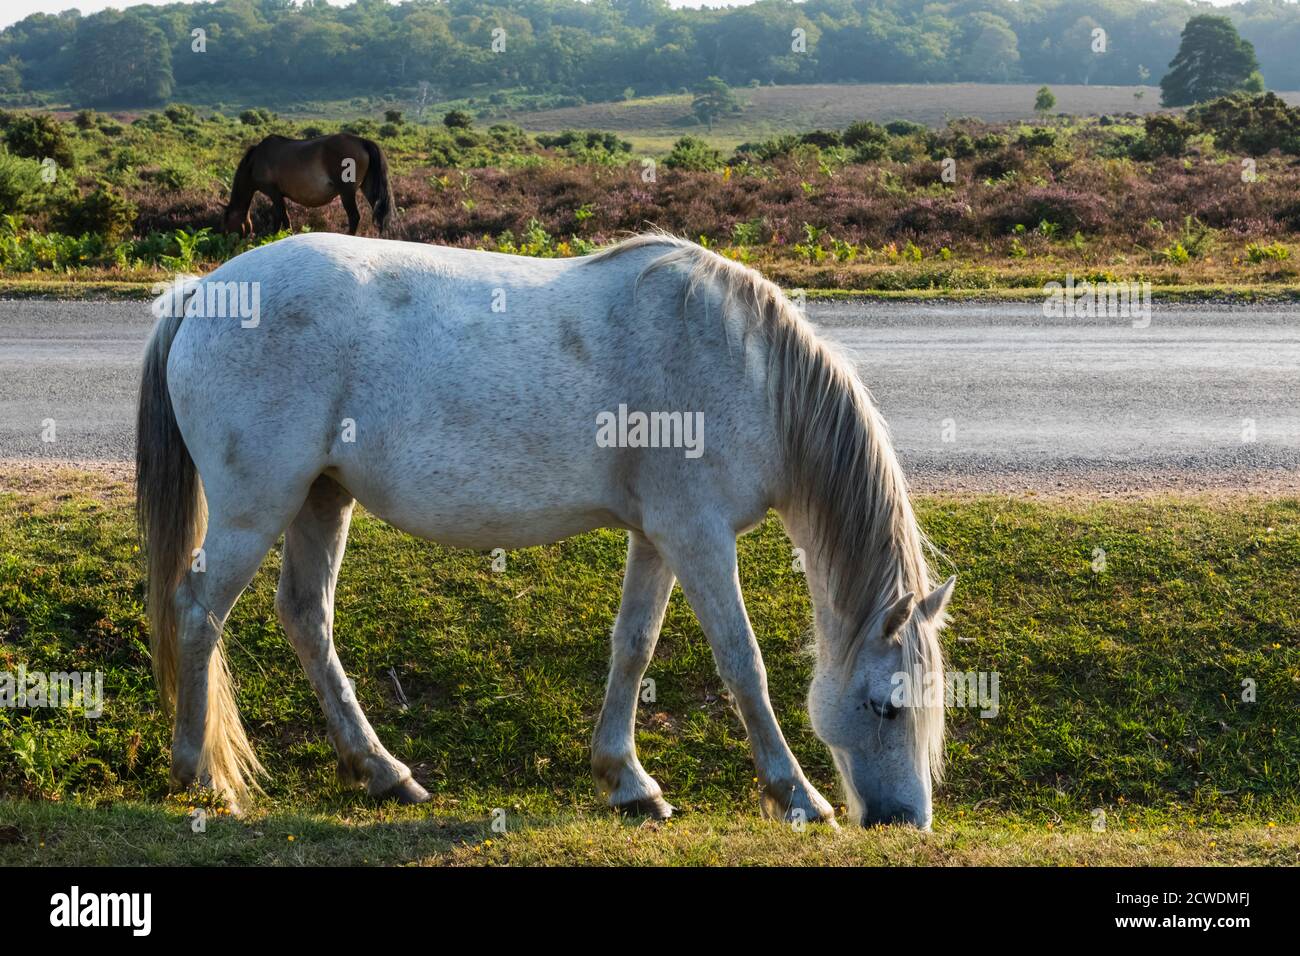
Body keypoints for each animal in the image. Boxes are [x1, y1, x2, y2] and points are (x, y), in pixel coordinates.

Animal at [137, 231, 956, 832]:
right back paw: (200, 774)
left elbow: (633, 647)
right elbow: (742, 664)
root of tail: (205, 291)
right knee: (198, 614)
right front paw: (796, 794)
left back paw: (383, 772)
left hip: (321, 500)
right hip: (254, 509)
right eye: (885, 704)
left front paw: (627, 781)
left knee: (306, 618)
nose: (904, 821)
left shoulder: (658, 538)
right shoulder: (698, 536)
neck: (742, 369)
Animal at [222, 133, 390, 238]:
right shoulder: (277, 196)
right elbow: (278, 218)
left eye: (227, 224)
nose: (230, 243)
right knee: (379, 214)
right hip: (368, 188)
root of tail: (362, 141)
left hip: (346, 192)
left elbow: (283, 218)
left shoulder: (274, 193)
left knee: (354, 217)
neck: (255, 161)